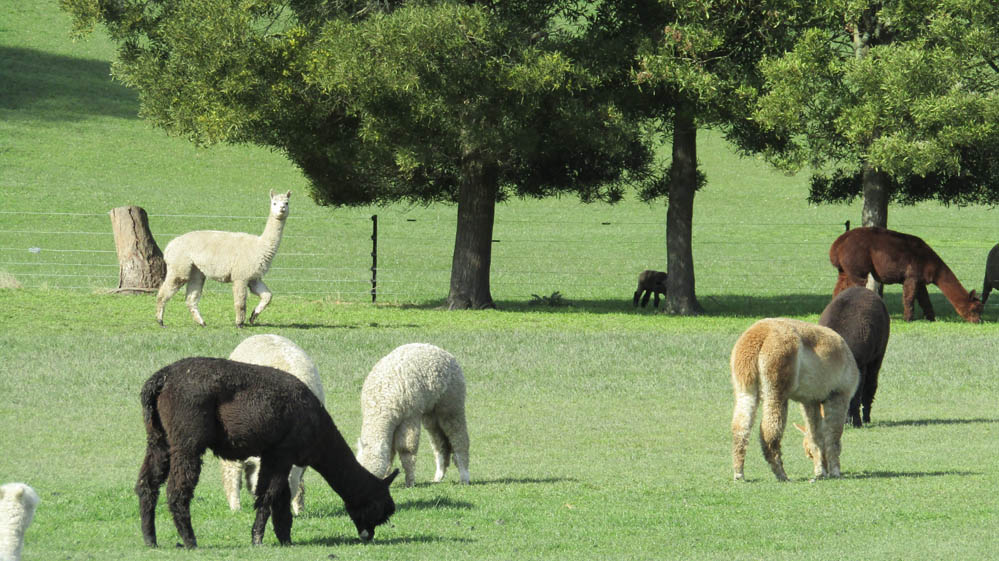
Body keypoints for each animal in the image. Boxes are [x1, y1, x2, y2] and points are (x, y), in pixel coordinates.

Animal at [136, 358, 398, 548]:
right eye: (379, 508)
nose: (368, 535)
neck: (319, 434)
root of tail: (160, 380)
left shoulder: (274, 454)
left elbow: (279, 498)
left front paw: (285, 539)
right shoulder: (283, 452)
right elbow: (268, 496)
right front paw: (258, 539)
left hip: (158, 437)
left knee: (146, 484)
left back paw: (150, 540)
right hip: (187, 437)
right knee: (176, 490)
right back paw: (190, 541)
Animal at [820, 286, 892, 426]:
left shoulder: (860, 367)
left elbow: (855, 397)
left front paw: (856, 421)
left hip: (877, 355)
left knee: (871, 385)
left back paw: (866, 417)